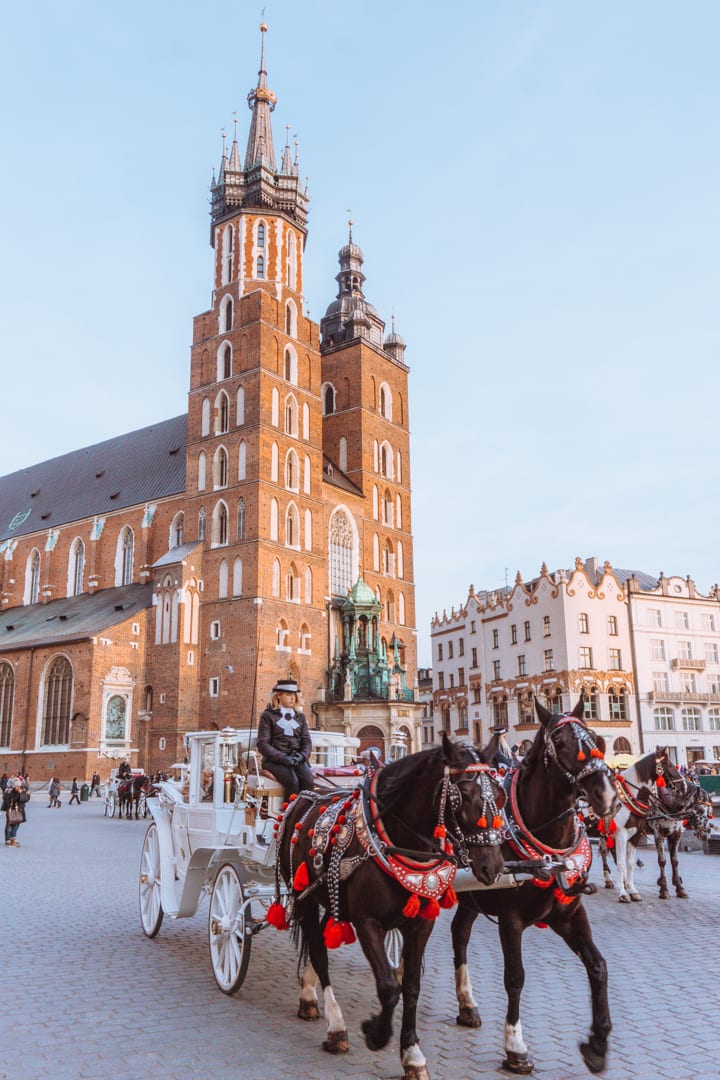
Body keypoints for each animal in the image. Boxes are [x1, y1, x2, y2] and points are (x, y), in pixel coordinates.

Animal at [272, 734, 507, 1080]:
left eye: (501, 795)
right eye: (462, 795)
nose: (493, 866)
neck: (400, 841)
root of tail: (304, 794)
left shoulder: (421, 924)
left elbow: (410, 986)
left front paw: (412, 1054)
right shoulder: (367, 922)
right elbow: (387, 986)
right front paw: (376, 1034)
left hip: (332, 896)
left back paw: (310, 996)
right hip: (304, 897)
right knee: (318, 952)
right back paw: (335, 1026)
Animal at [453, 695, 617, 1075]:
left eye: (595, 740)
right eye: (560, 743)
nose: (606, 795)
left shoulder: (569, 913)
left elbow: (598, 966)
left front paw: (597, 1044)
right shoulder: (511, 920)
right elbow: (515, 977)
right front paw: (515, 1048)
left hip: (472, 897)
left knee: (459, 934)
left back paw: (467, 1005)